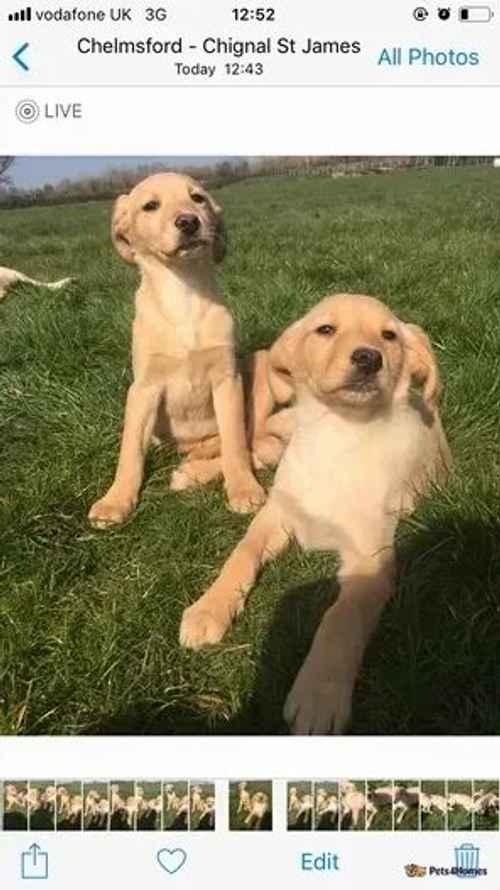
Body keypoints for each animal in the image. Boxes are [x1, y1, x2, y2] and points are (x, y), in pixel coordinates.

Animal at [90, 170, 270, 524]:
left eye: (197, 198)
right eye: (150, 206)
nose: (188, 222)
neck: (182, 292)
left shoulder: (226, 380)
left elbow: (235, 444)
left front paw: (243, 489)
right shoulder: (144, 387)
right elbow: (130, 450)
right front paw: (115, 500)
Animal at [179, 294, 450, 732]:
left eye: (389, 335)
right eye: (325, 329)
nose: (369, 358)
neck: (337, 436)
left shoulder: (370, 560)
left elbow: (339, 619)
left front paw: (319, 694)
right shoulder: (275, 515)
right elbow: (240, 555)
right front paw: (209, 608)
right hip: (285, 424)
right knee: (256, 442)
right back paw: (195, 470)